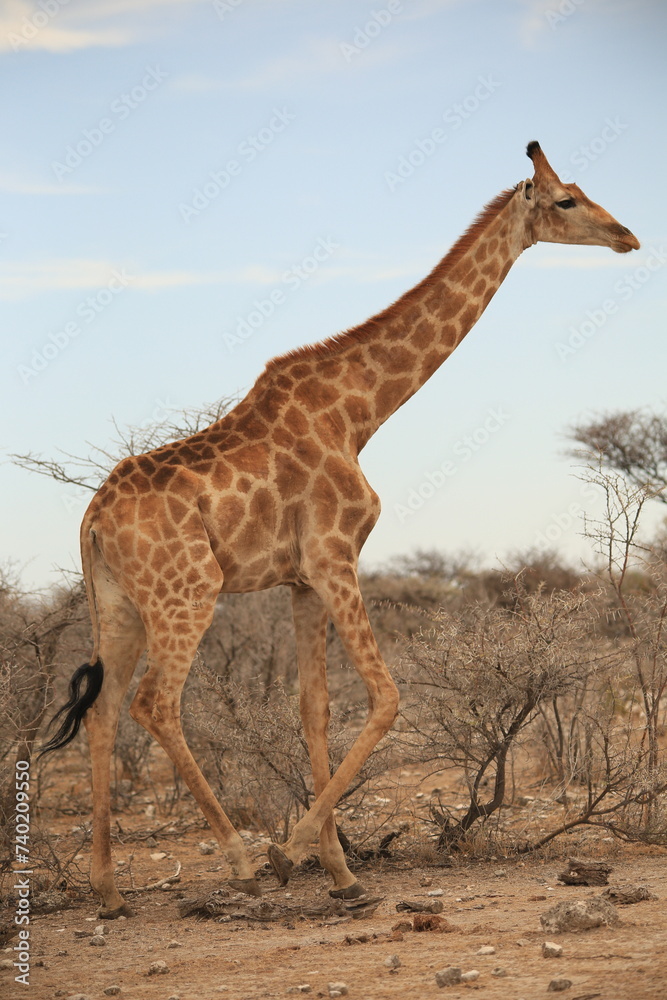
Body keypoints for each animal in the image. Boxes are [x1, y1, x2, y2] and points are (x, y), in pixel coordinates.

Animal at [42, 142, 639, 918]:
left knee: (105, 711)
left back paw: (110, 892)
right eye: (566, 199)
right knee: (155, 703)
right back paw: (238, 860)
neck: (358, 412)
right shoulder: (334, 555)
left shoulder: (300, 578)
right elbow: (384, 698)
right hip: (187, 593)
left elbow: (313, 709)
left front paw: (341, 873)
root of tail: (91, 519)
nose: (628, 236)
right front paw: (290, 853)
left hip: (117, 606)